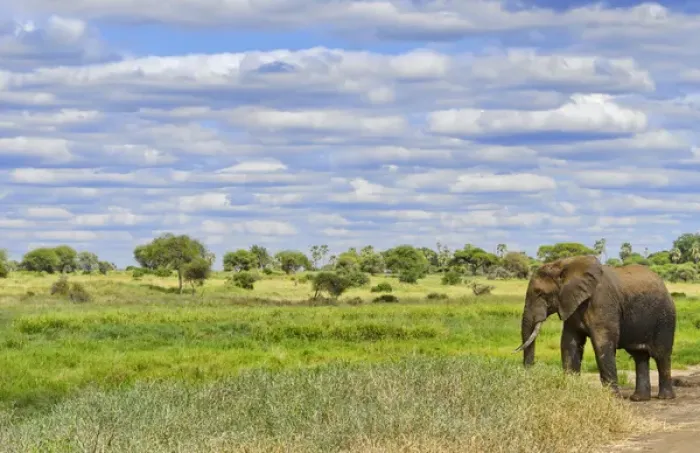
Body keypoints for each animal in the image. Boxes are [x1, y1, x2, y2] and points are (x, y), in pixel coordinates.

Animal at [515, 255, 676, 401]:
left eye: (540, 293)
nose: (529, 376)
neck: (565, 265)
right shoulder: (572, 306)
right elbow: (570, 343)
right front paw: (571, 393)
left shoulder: (602, 303)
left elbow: (601, 344)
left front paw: (611, 399)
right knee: (640, 356)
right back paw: (639, 399)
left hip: (665, 319)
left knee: (661, 355)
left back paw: (665, 397)